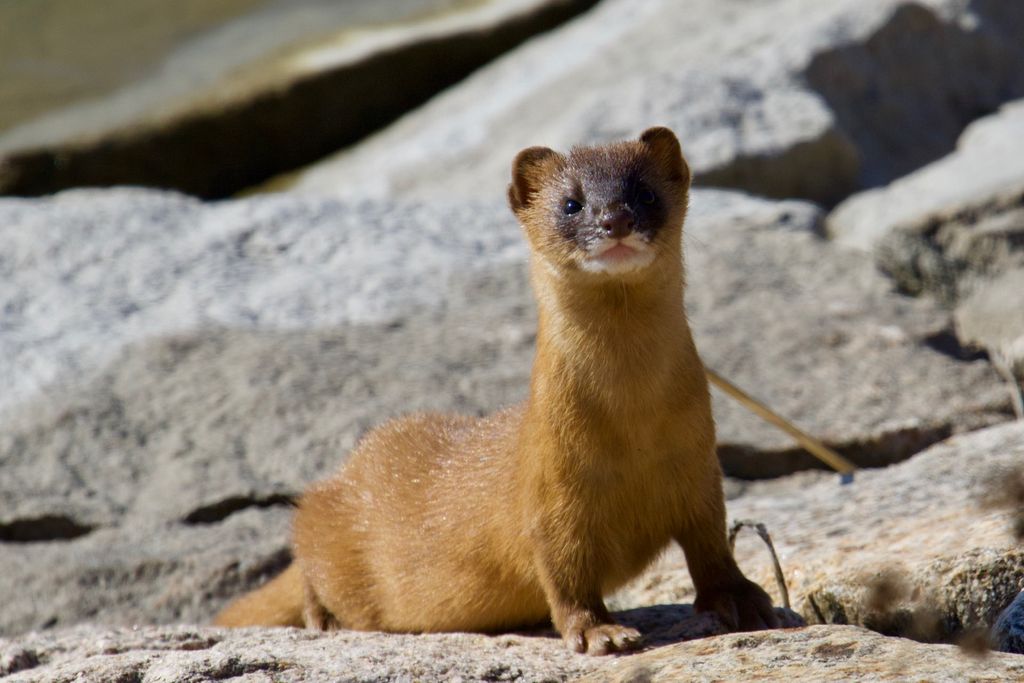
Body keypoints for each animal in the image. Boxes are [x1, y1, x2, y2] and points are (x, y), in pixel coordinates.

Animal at [216, 127, 774, 655]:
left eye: (645, 192)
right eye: (570, 203)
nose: (614, 220)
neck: (633, 432)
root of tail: (343, 477)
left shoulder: (699, 466)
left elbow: (711, 546)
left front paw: (744, 600)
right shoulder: (550, 489)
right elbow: (564, 574)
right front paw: (601, 632)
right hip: (326, 527)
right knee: (305, 558)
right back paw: (324, 617)